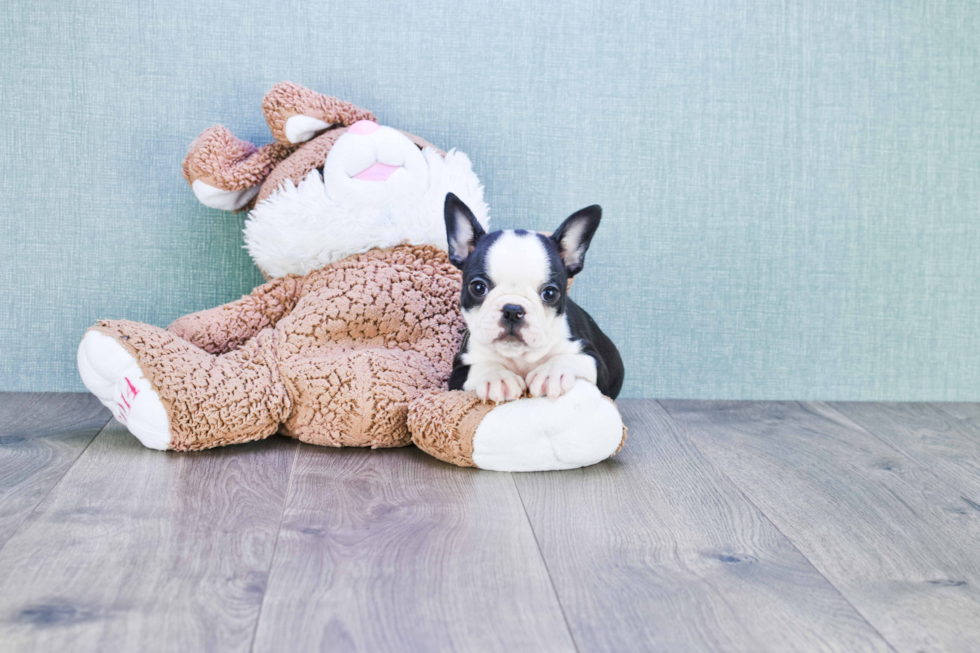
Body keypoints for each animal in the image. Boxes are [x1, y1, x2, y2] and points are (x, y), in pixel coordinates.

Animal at [442, 191, 620, 402]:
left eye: (550, 293)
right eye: (478, 287)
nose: (513, 310)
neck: (520, 355)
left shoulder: (595, 361)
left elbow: (571, 358)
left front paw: (552, 372)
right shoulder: (459, 369)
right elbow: (481, 366)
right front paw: (497, 377)